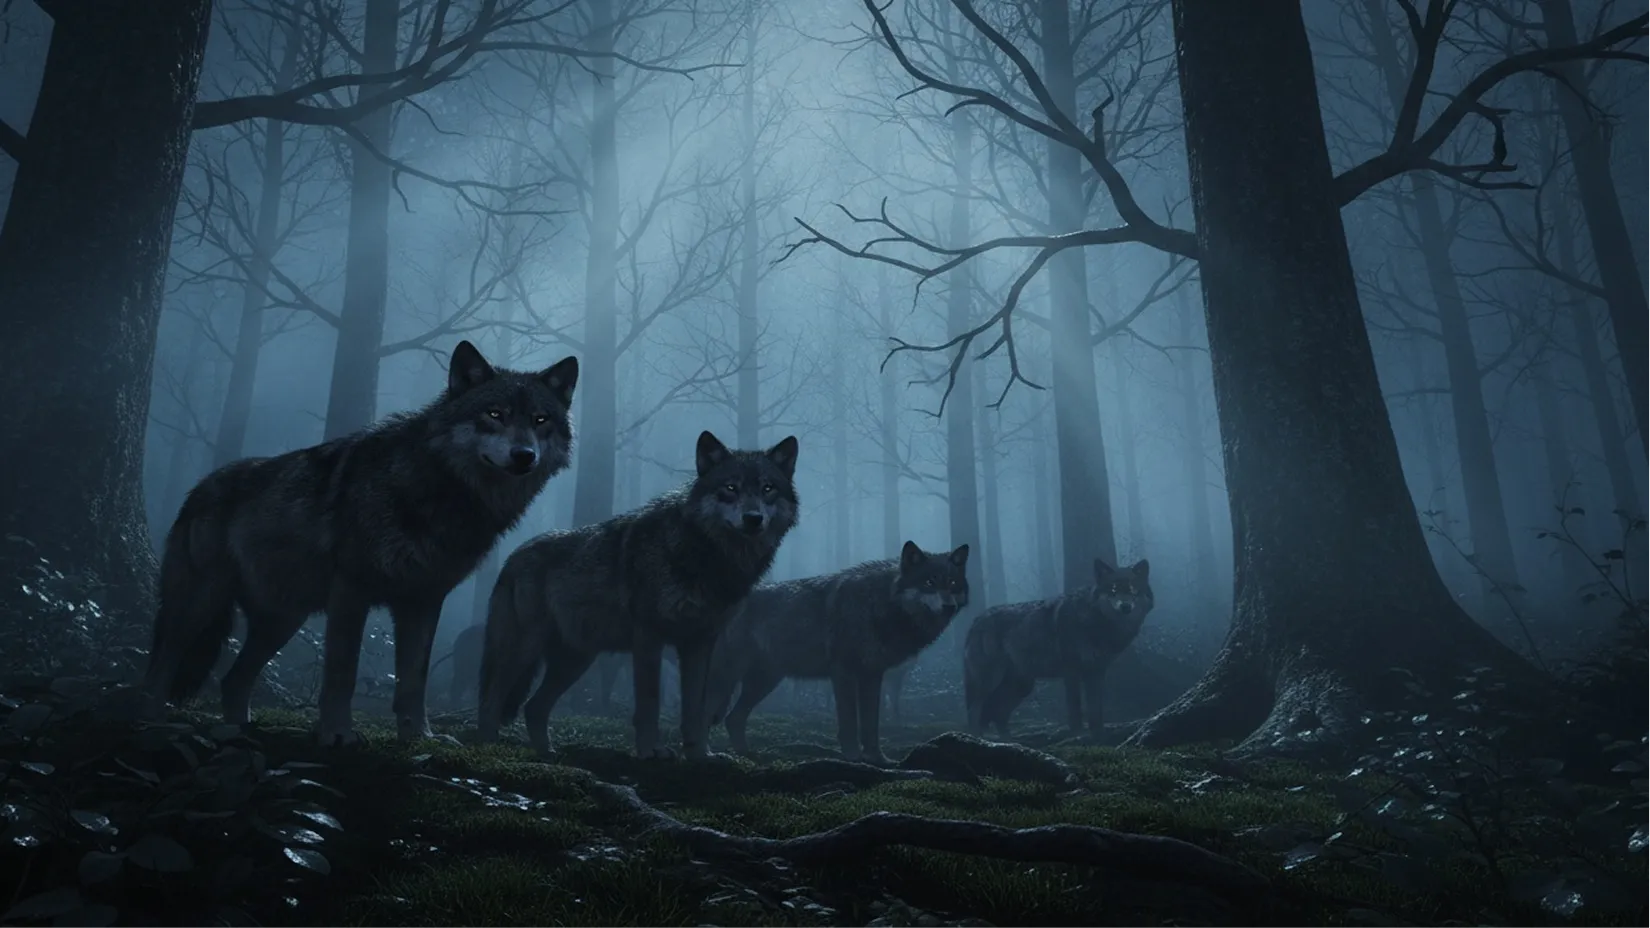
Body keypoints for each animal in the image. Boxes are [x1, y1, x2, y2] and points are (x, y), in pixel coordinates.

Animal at [141, 341, 578, 746]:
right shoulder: (352, 590)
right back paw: (152, 718)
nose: (524, 456)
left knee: (232, 679)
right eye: (494, 414)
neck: (439, 489)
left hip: (283, 620)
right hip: (201, 602)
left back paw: (239, 729)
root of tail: (199, 488)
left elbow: (414, 680)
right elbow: (342, 672)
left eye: (540, 420)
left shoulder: (424, 599)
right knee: (161, 661)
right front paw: (337, 733)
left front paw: (419, 736)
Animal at [477, 431, 799, 758]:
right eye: (731, 488)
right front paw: (650, 752)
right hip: (526, 648)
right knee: (491, 698)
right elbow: (649, 703)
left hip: (576, 660)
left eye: (768, 488)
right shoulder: (649, 636)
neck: (705, 554)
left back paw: (547, 753)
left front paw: (700, 754)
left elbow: (696, 709)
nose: (753, 518)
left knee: (533, 707)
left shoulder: (700, 643)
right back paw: (487, 746)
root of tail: (513, 557)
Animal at [706, 541, 970, 763]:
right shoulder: (844, 673)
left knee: (733, 719)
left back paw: (746, 755)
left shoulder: (872, 675)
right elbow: (849, 722)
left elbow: (871, 724)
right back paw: (708, 756)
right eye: (929, 583)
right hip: (728, 678)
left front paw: (877, 759)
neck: (880, 606)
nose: (949, 607)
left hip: (764, 681)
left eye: (952, 583)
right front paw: (853, 757)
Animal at [962, 558, 1153, 738]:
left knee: (998, 714)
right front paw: (1078, 734)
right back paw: (977, 738)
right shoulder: (1071, 672)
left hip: (1021, 686)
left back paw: (1009, 740)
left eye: (1133, 590)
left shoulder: (1096, 673)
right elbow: (1075, 708)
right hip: (990, 681)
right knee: (974, 711)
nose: (1125, 607)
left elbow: (1095, 709)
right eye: (1113, 590)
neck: (1096, 623)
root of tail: (976, 620)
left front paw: (1098, 734)